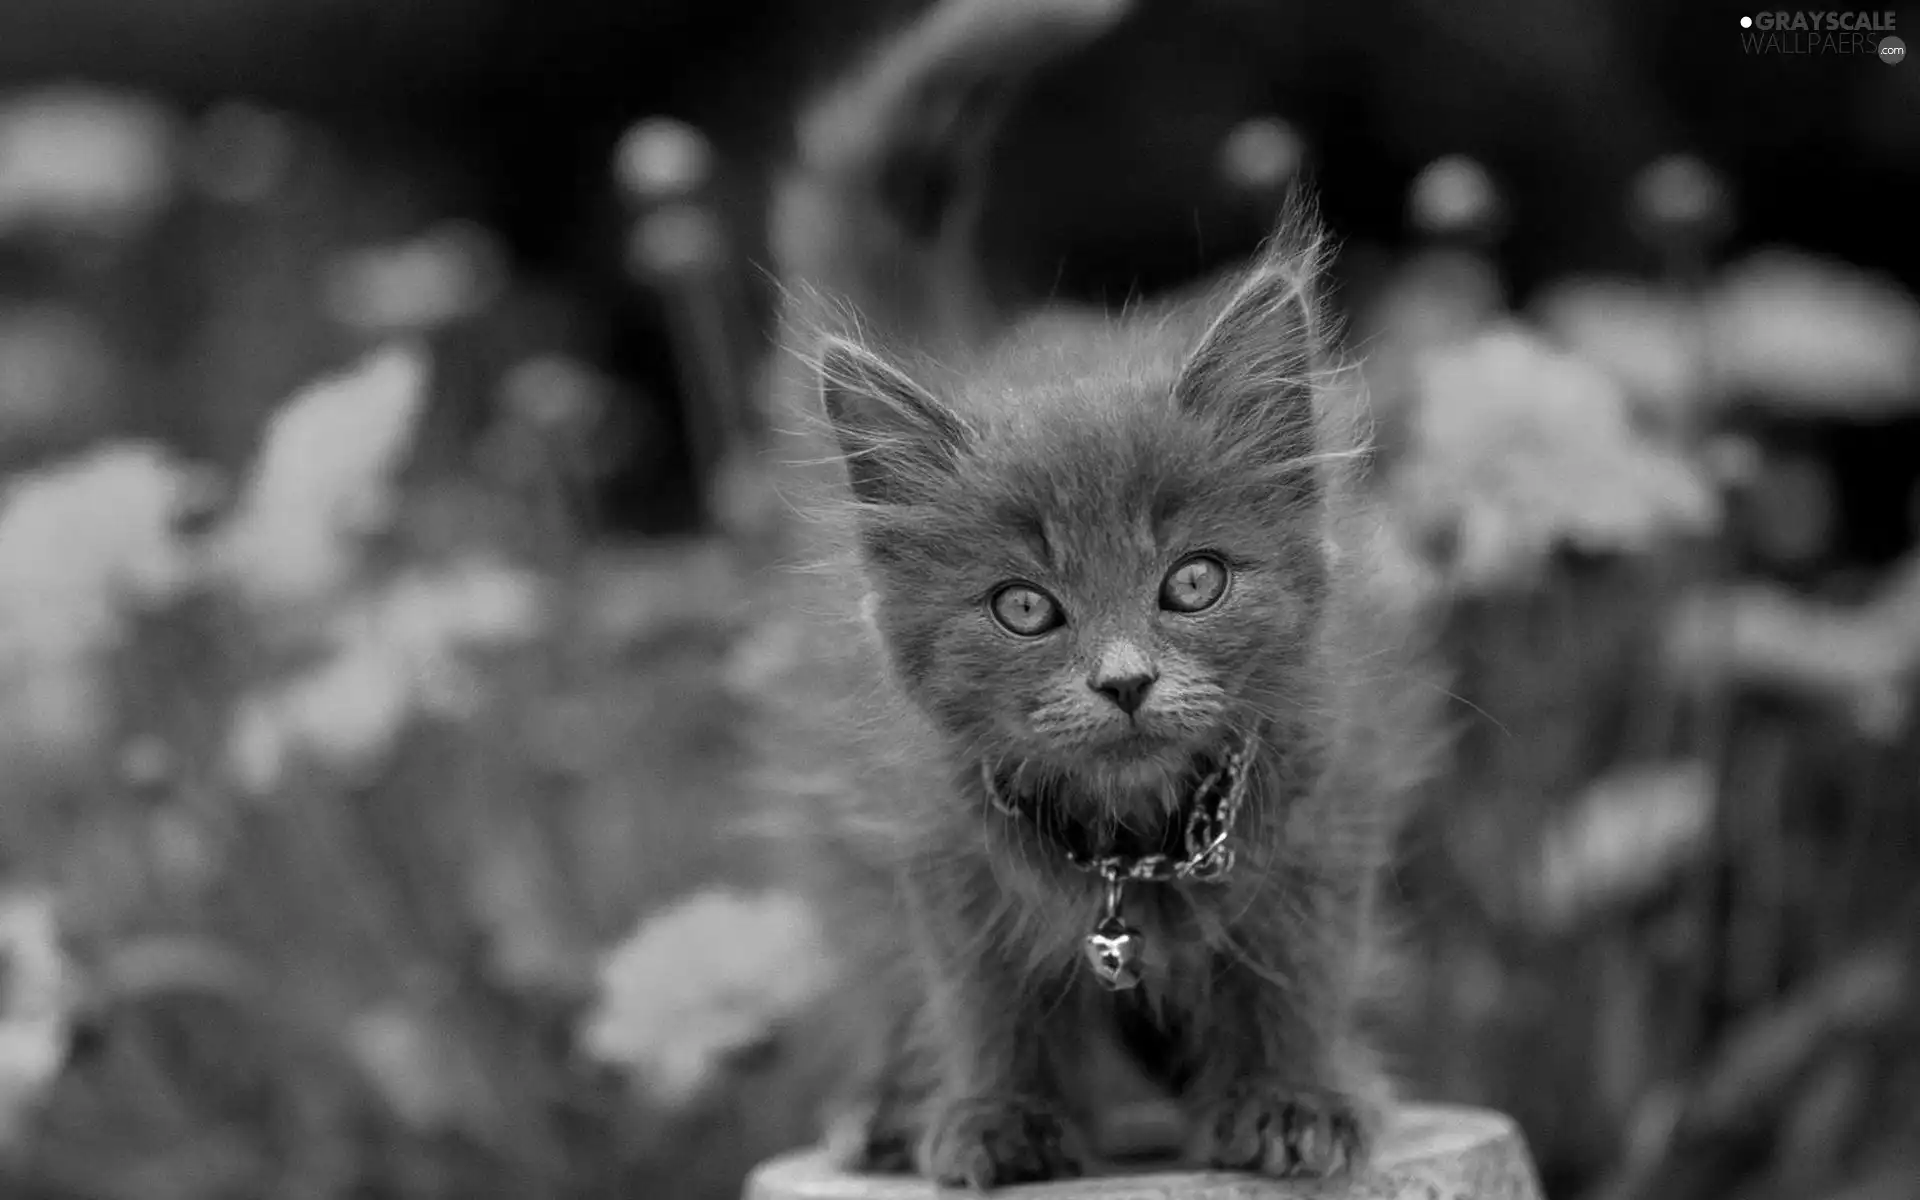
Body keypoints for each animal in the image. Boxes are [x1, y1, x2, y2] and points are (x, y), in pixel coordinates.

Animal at [748, 0, 1443, 1182]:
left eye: (1195, 581)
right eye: (1023, 607)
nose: (1124, 681)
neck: (1135, 844)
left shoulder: (1324, 814)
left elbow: (1297, 980)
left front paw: (1295, 1099)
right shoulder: (936, 841)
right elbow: (986, 1000)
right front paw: (995, 1117)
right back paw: (885, 1110)